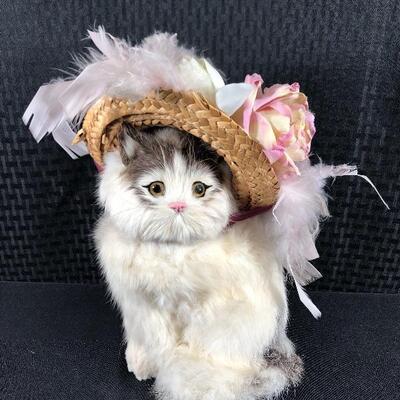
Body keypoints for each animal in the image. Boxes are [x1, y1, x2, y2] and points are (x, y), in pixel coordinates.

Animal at [94, 122, 302, 400]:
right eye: (156, 188)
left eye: (199, 189)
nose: (178, 206)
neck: (170, 249)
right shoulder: (141, 304)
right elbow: (152, 338)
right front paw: (144, 364)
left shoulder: (196, 308)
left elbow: (177, 346)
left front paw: (170, 366)